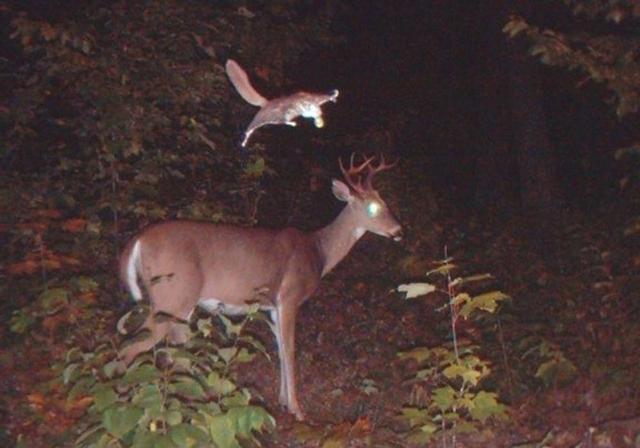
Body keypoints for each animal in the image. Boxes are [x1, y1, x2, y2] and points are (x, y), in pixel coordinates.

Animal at [117, 154, 402, 420]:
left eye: (385, 201)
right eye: (373, 208)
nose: (399, 231)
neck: (318, 252)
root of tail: (138, 241)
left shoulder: (272, 306)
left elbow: (279, 348)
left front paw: (283, 400)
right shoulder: (289, 297)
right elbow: (290, 348)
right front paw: (297, 409)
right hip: (172, 296)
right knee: (132, 348)